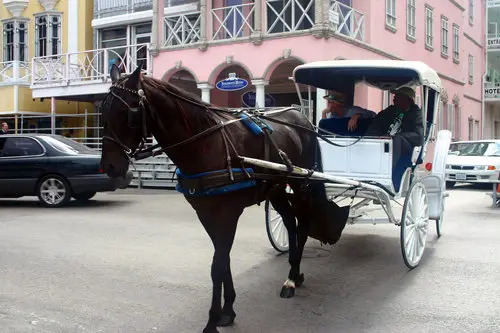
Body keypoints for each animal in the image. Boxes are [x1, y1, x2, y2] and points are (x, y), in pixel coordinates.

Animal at [97, 63, 348, 330]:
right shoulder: (205, 213)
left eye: (129, 113)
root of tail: (302, 118)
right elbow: (222, 259)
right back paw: (294, 272)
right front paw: (227, 310)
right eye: (103, 111)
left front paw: (212, 319)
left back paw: (292, 278)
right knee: (290, 223)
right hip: (276, 188)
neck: (206, 145)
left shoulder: (228, 213)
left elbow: (217, 265)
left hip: (300, 185)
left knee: (302, 223)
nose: (109, 166)